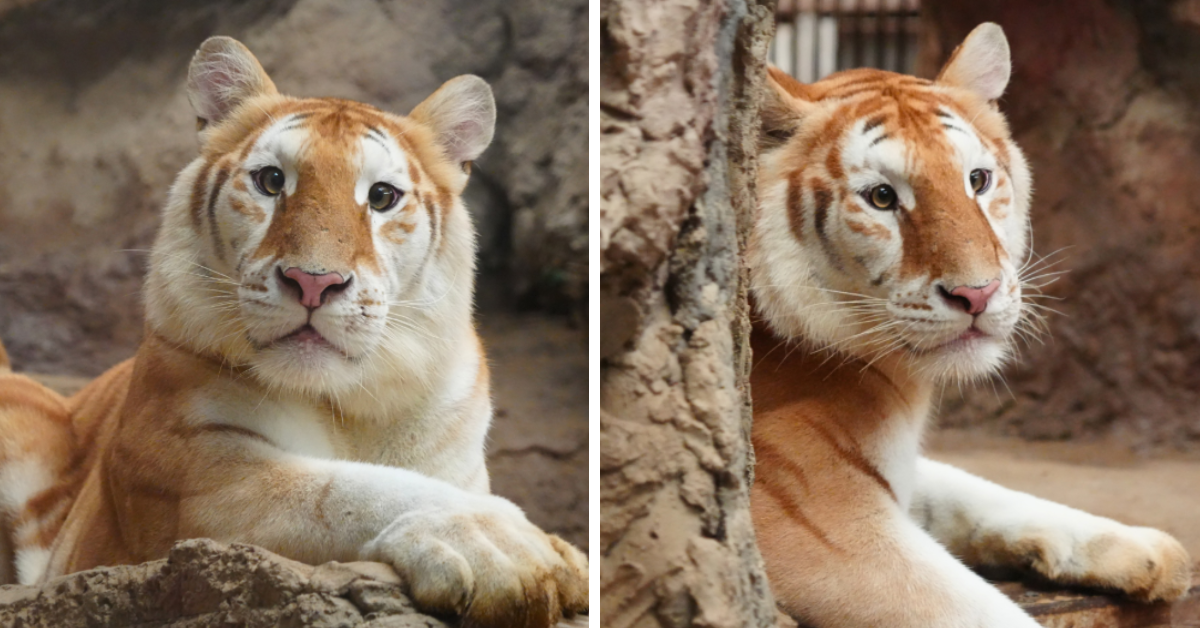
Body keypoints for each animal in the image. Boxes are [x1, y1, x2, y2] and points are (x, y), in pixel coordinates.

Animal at [0, 36, 587, 628]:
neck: (351, 405)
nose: (313, 282)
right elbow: (345, 488)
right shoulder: (193, 474)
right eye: (272, 181)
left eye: (381, 196)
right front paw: (507, 549)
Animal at [748, 22, 1191, 627]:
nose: (977, 294)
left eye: (977, 180)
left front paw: (1145, 547)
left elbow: (974, 490)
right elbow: (977, 607)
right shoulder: (813, 518)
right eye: (882, 197)